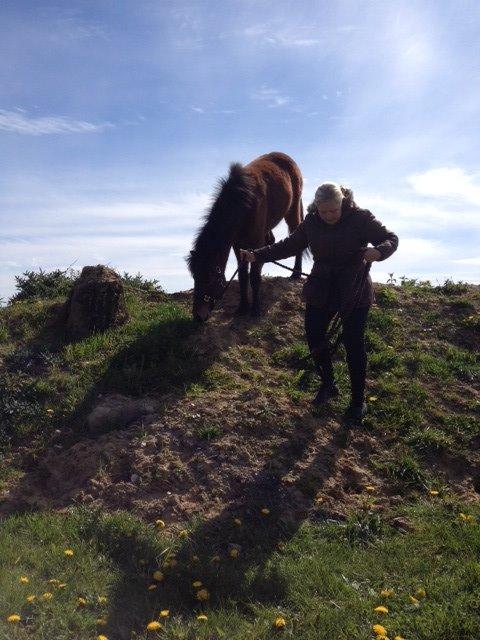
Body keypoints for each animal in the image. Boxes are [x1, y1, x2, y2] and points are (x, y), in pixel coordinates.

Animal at [186, 149, 310, 320]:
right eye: (194, 277)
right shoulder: (238, 246)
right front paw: (242, 307)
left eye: (210, 277)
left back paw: (296, 273)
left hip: (292, 210)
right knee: (271, 240)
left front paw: (255, 309)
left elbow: (254, 277)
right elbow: (243, 276)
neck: (243, 202)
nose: (198, 316)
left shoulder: (255, 243)